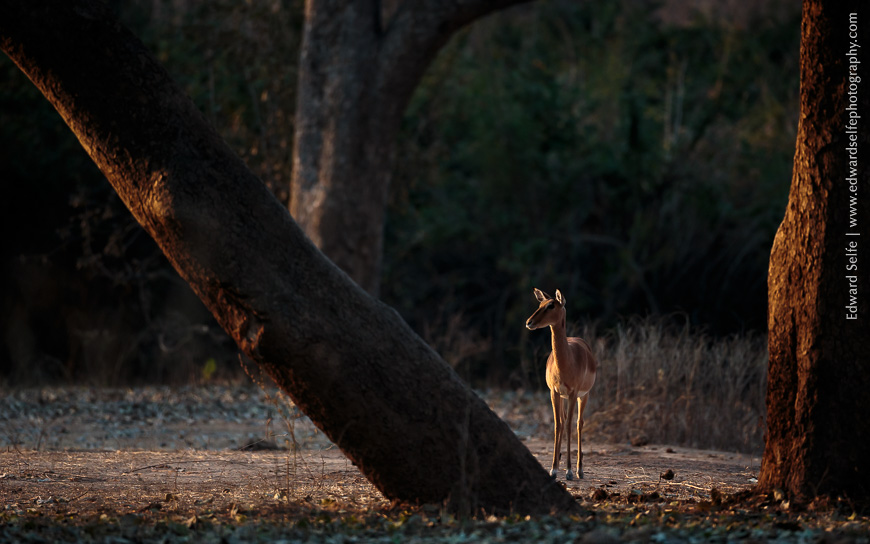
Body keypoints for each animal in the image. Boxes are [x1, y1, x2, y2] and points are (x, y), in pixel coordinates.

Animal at [526, 288, 598, 480]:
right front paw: (553, 469)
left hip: (584, 396)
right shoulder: (554, 392)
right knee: (563, 420)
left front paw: (570, 471)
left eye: (551, 305)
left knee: (579, 423)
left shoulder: (573, 393)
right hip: (563, 397)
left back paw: (580, 470)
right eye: (540, 304)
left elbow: (570, 426)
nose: (529, 322)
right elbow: (558, 424)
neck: (567, 362)